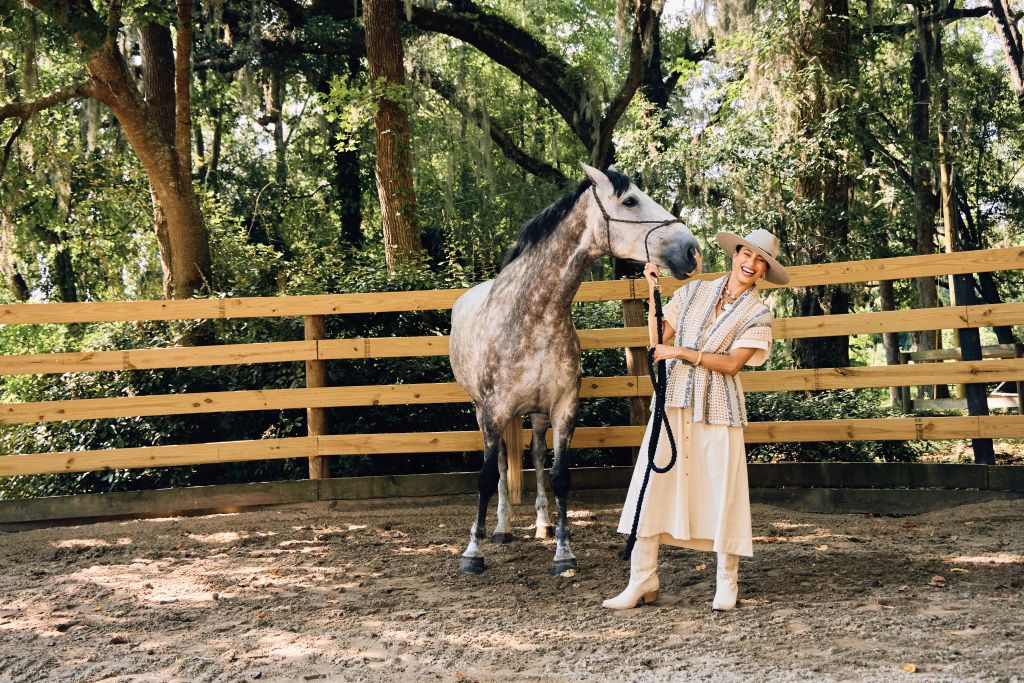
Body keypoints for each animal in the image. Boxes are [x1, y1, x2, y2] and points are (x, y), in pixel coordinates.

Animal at [450, 165, 704, 577]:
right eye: (630, 201)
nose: (691, 251)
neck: (533, 316)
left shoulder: (565, 409)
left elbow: (559, 477)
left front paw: (563, 553)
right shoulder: (493, 412)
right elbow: (487, 477)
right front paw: (473, 553)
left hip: (537, 415)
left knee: (536, 455)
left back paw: (541, 524)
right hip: (483, 412)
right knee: (501, 464)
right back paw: (501, 529)